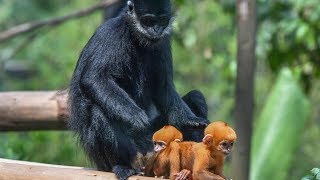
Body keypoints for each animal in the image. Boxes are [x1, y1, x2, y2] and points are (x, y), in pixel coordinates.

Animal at [69, 0, 209, 179]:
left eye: (162, 21)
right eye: (148, 21)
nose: (156, 30)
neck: (135, 37)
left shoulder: (163, 41)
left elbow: (164, 87)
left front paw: (189, 119)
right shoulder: (111, 32)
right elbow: (93, 78)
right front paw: (135, 116)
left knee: (196, 97)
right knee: (98, 111)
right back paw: (123, 166)